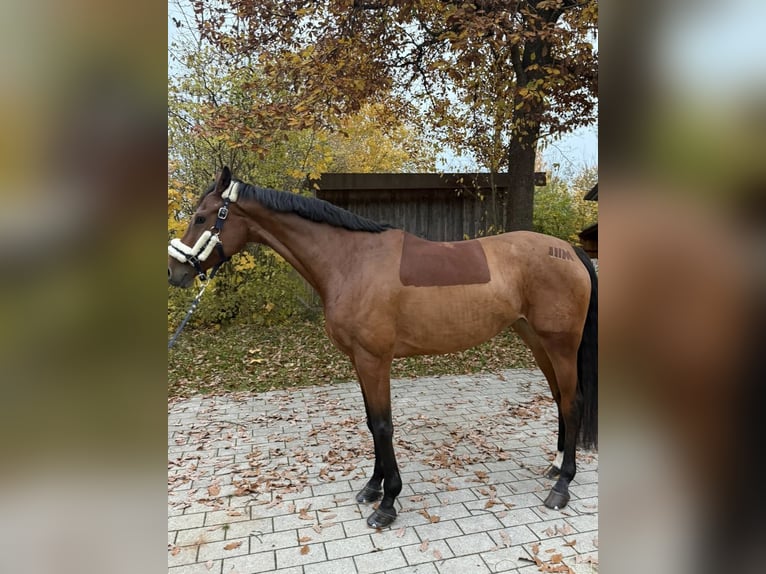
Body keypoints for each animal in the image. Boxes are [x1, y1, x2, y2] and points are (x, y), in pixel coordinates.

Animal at [168, 167, 598, 528]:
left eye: (201, 218)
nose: (175, 272)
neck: (351, 261)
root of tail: (570, 251)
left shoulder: (375, 360)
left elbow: (382, 425)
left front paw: (387, 503)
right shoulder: (360, 361)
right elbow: (371, 423)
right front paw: (372, 488)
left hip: (560, 344)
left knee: (572, 401)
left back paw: (562, 486)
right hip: (535, 339)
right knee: (559, 398)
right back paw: (557, 465)